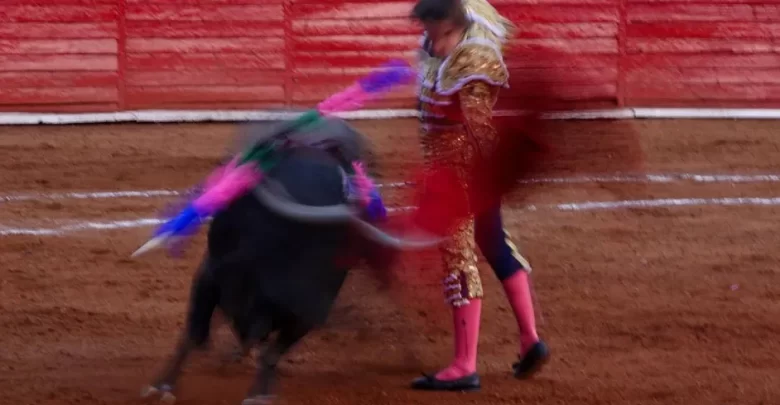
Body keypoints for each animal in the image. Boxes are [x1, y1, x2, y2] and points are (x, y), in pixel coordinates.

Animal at [140, 117, 441, 405]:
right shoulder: (210, 277)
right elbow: (193, 333)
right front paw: (162, 385)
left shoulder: (306, 310)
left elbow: (270, 353)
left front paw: (258, 392)